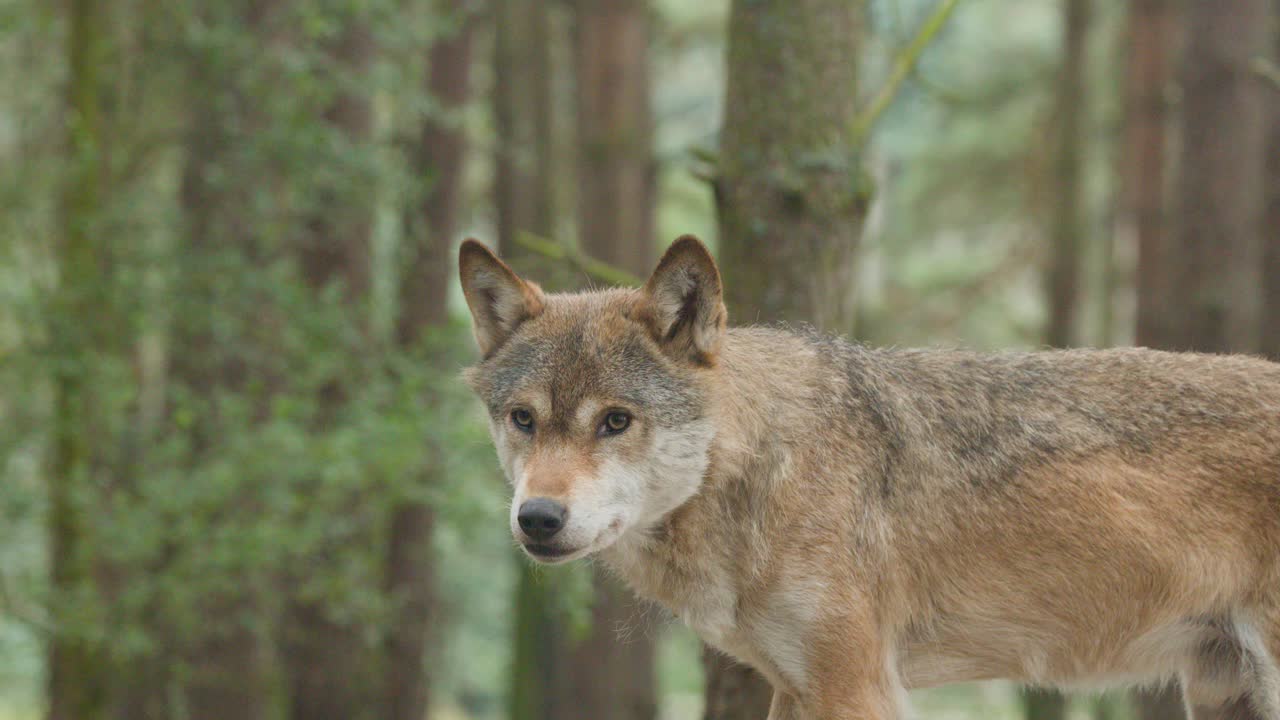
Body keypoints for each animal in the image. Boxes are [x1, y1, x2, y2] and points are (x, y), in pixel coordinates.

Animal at [459, 236, 1280, 720]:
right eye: (524, 419)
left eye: (615, 421)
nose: (537, 518)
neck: (765, 472)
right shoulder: (794, 688)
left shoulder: (857, 688)